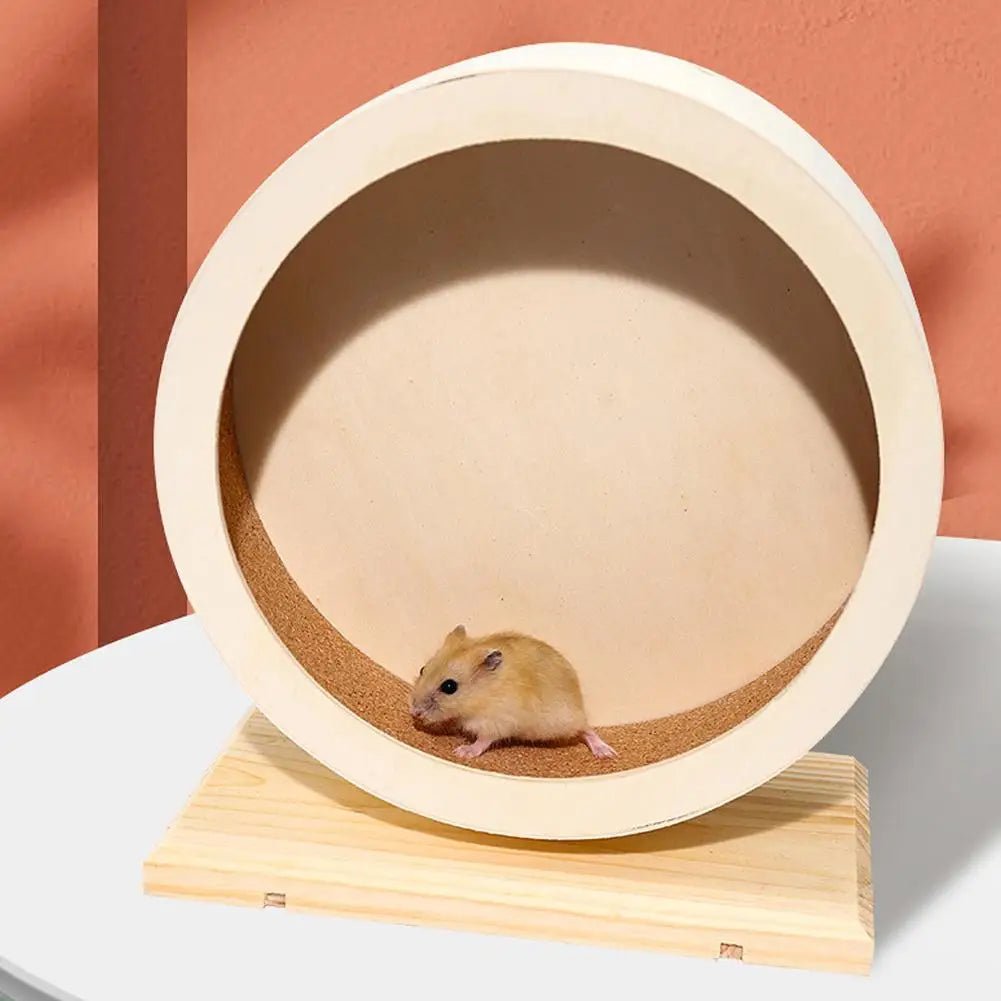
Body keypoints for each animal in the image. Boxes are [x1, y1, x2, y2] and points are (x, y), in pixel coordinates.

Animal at [409, 625, 616, 761]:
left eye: (449, 687)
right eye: (422, 669)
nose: (414, 713)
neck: (482, 695)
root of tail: (579, 701)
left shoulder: (495, 723)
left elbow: (482, 741)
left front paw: (462, 752)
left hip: (565, 721)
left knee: (587, 729)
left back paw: (606, 753)